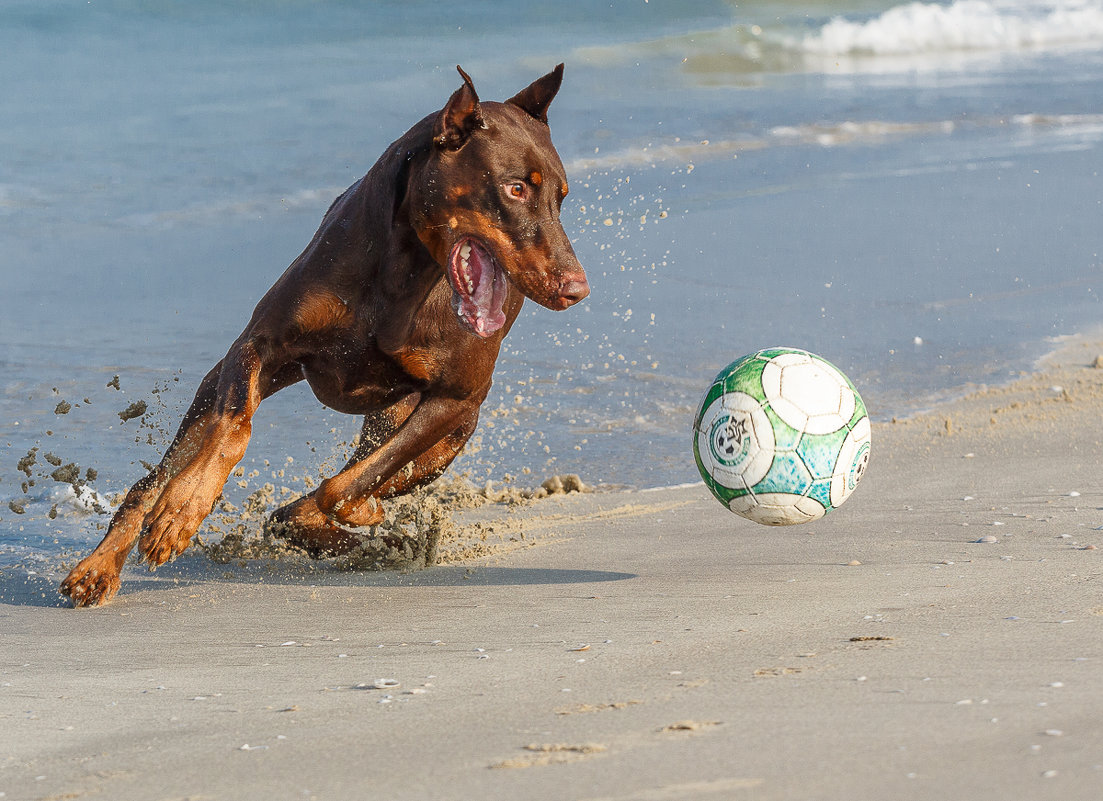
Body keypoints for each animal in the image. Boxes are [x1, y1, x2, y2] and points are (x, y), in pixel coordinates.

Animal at [62, 65, 586, 609]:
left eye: (562, 197)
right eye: (515, 189)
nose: (576, 288)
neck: (405, 272)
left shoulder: (457, 398)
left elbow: (348, 485)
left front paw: (355, 516)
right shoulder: (260, 345)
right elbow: (235, 426)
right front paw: (181, 511)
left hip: (445, 438)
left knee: (343, 487)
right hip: (221, 384)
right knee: (160, 475)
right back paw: (102, 564)